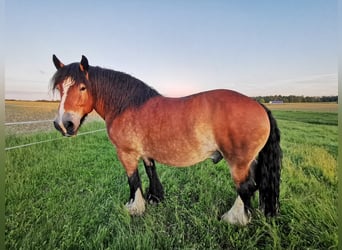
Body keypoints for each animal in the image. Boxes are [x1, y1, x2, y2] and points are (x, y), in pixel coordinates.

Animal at [50, 55, 280, 227]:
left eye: (82, 87)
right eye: (60, 88)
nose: (64, 124)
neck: (126, 105)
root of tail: (259, 105)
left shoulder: (126, 154)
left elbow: (133, 180)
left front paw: (134, 208)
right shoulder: (145, 153)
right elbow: (151, 173)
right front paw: (155, 199)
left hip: (238, 163)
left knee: (245, 187)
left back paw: (233, 219)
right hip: (251, 161)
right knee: (254, 186)